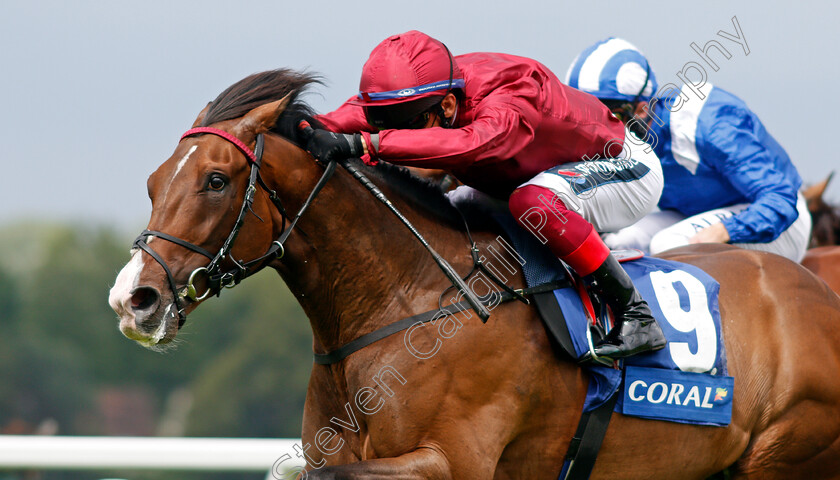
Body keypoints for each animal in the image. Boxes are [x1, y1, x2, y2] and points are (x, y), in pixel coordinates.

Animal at [106, 69, 840, 478]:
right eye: (152, 183)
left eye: (216, 181)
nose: (132, 298)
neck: (407, 301)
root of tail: (815, 292)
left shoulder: (451, 461)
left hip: (785, 454)